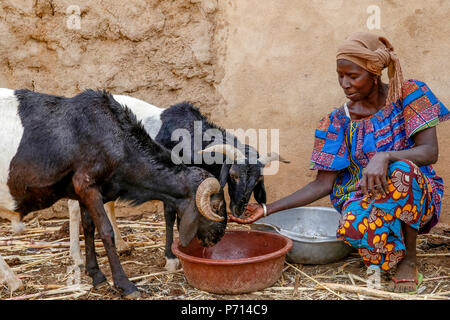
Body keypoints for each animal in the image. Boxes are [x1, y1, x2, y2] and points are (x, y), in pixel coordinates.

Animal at [0, 88, 225, 298]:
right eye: (215, 206)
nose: (218, 238)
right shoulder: (87, 185)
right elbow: (105, 231)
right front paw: (125, 284)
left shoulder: (83, 190)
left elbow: (89, 227)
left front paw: (96, 275)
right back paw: (13, 281)